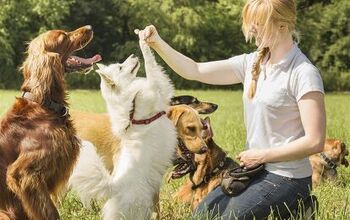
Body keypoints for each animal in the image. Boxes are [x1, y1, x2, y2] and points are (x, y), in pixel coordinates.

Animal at [69, 38, 178, 219]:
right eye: (120, 67)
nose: (133, 55)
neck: (132, 100)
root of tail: (114, 187)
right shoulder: (157, 88)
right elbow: (151, 65)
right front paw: (144, 43)